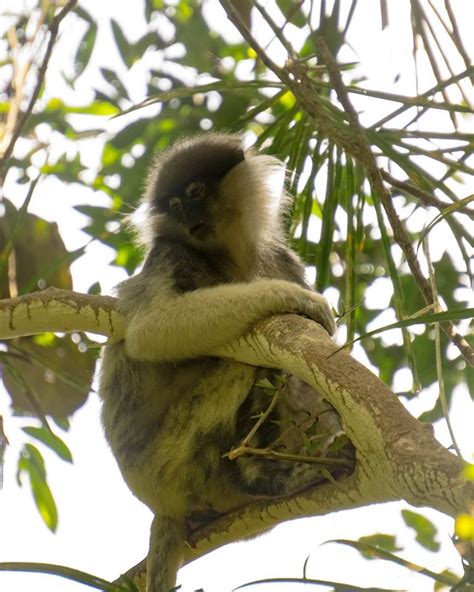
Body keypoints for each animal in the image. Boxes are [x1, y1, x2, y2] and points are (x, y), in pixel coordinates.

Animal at [99, 134, 344, 592]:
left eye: (195, 193)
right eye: (175, 205)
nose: (189, 217)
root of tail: (158, 505)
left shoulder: (281, 257)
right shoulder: (170, 254)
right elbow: (152, 330)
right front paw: (295, 298)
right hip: (169, 465)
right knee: (246, 366)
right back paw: (261, 476)